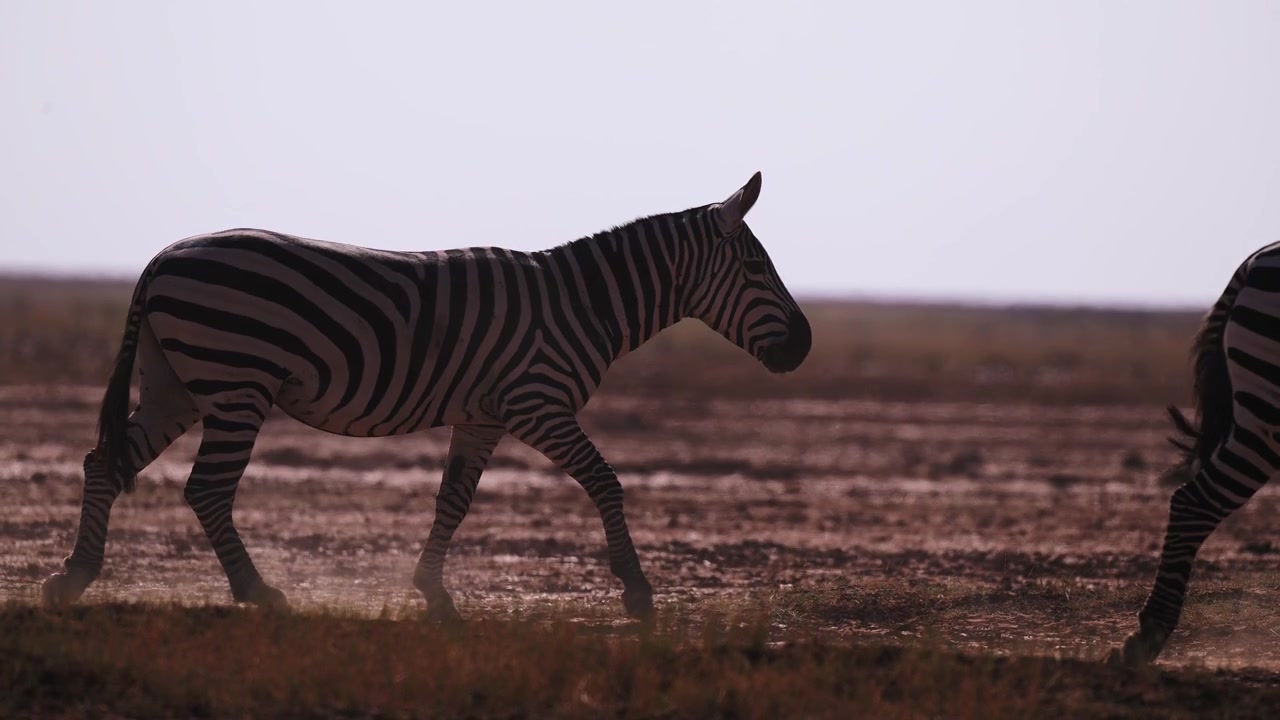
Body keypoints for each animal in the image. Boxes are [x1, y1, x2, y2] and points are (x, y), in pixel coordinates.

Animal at [41, 172, 811, 621]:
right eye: (756, 266)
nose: (803, 346)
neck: (581, 302)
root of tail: (161, 258)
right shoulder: (538, 403)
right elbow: (605, 481)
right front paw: (638, 591)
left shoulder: (483, 416)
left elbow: (454, 500)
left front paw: (433, 592)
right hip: (236, 383)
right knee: (205, 489)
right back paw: (257, 593)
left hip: (179, 383)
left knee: (105, 461)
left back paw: (75, 577)